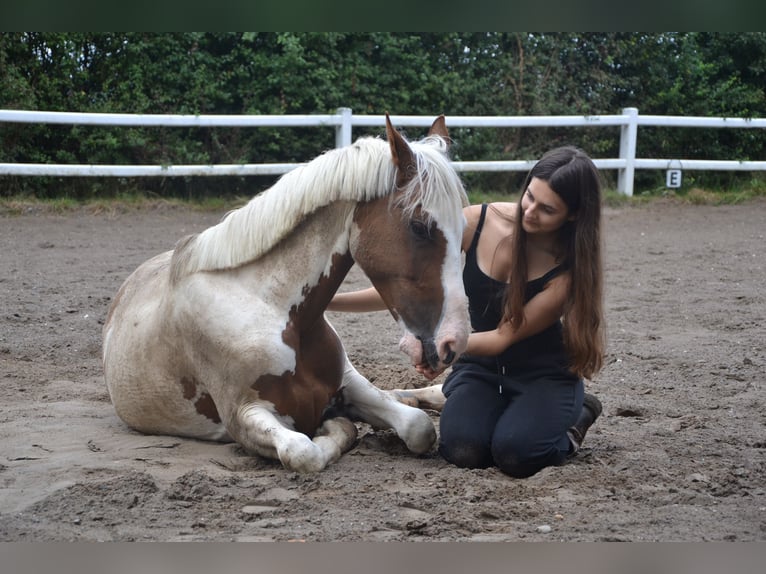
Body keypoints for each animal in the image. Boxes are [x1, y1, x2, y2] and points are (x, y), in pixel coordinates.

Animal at [102, 115, 472, 474]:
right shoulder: (242, 415)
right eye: (420, 226)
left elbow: (418, 427)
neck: (275, 309)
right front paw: (331, 427)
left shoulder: (348, 382)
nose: (452, 342)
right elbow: (304, 451)